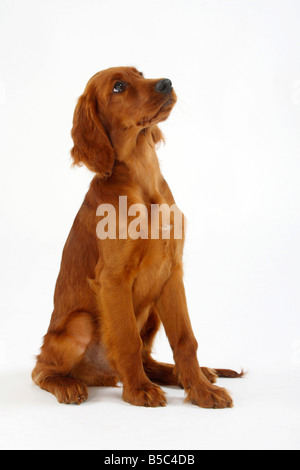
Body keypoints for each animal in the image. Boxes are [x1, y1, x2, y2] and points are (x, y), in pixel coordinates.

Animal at [31, 66, 241, 408]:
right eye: (118, 86)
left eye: (140, 73)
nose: (166, 82)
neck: (142, 177)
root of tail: (103, 375)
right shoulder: (113, 278)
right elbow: (127, 338)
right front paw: (139, 391)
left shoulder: (172, 272)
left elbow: (185, 339)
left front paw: (200, 390)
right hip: (79, 323)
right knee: (40, 369)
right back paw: (68, 385)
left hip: (153, 311)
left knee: (148, 359)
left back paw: (191, 374)